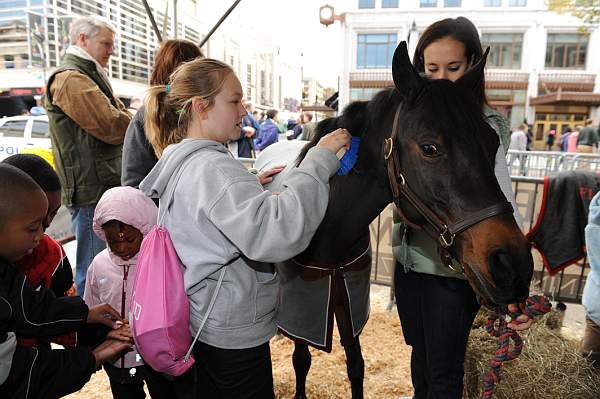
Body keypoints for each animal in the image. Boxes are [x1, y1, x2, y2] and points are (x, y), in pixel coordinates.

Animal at [268, 42, 536, 398]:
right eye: (429, 148)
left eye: (493, 143)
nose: (513, 266)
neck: (326, 232)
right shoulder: (304, 312)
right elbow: (302, 360)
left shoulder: (349, 306)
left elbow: (356, 366)